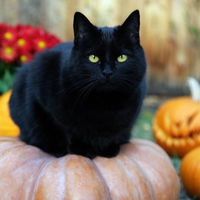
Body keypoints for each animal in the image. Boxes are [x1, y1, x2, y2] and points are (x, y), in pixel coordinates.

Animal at [9, 9, 146, 159]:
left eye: (122, 57)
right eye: (93, 57)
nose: (107, 72)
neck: (104, 104)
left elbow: (115, 132)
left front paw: (108, 148)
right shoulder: (42, 93)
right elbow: (66, 129)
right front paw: (81, 149)